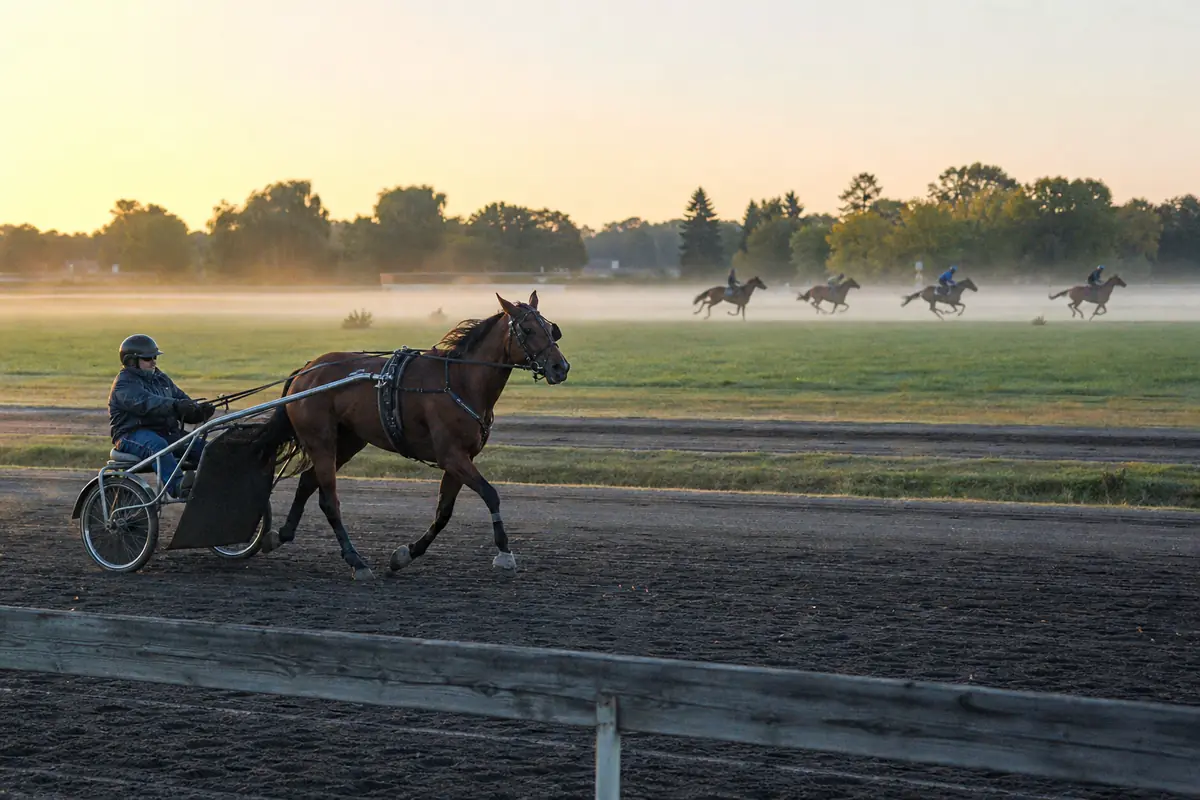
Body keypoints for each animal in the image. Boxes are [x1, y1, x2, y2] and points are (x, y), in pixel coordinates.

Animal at [245, 291, 569, 580]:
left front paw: (405, 555)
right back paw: (356, 560)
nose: (560, 367)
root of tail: (307, 371)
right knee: (329, 499)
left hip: (348, 440)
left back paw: (282, 535)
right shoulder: (452, 456)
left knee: (309, 482)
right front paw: (504, 553)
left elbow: (443, 513)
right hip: (320, 439)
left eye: (550, 328)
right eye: (528, 329)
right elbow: (491, 494)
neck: (461, 382)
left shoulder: (460, 459)